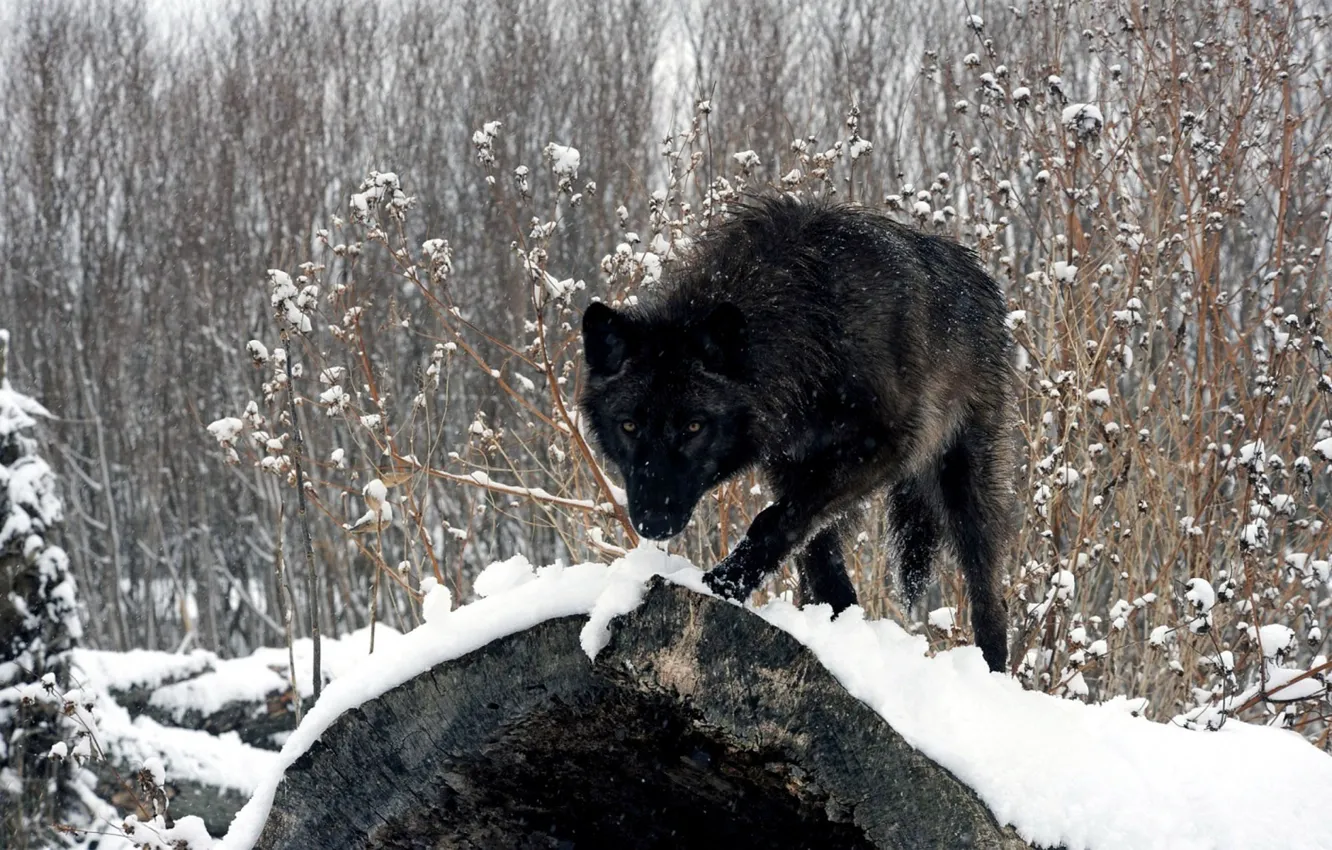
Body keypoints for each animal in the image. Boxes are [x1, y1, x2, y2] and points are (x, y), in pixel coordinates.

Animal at [578, 195, 1016, 673]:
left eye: (694, 426)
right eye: (629, 425)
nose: (653, 521)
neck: (811, 319)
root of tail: (981, 278)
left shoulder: (883, 448)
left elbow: (775, 521)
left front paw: (723, 583)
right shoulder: (791, 465)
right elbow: (813, 552)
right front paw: (836, 629)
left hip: (963, 483)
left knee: (988, 591)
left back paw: (992, 674)